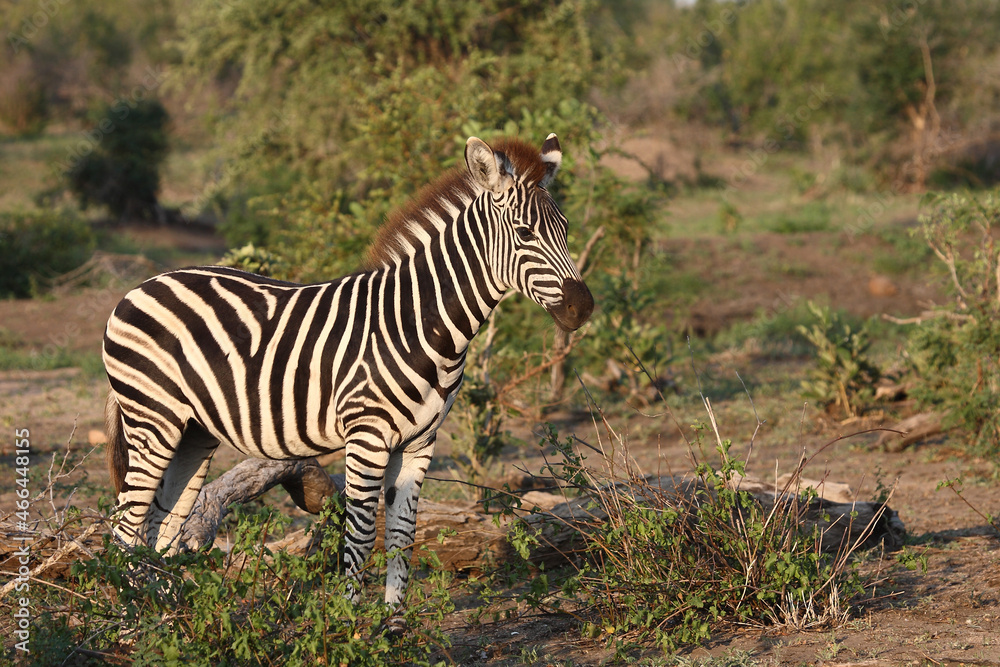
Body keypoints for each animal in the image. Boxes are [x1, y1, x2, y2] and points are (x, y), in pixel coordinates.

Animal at [103, 133, 594, 610]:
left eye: (567, 229)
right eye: (524, 233)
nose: (582, 307)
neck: (421, 324)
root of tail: (143, 285)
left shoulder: (420, 442)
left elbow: (402, 536)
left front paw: (392, 626)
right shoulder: (367, 436)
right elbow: (359, 535)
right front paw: (350, 622)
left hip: (193, 433)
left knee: (160, 528)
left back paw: (167, 614)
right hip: (154, 421)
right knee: (125, 528)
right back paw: (132, 616)